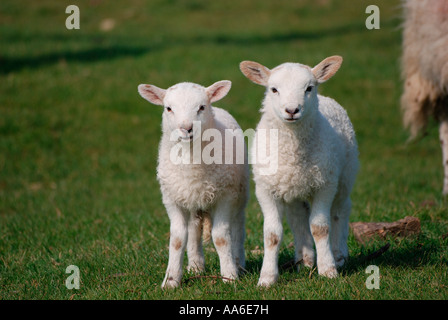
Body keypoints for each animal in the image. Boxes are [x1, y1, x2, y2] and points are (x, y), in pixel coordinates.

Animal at [136, 80, 248, 290]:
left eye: (201, 107)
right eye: (168, 108)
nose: (186, 128)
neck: (191, 162)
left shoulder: (225, 196)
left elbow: (221, 237)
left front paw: (229, 277)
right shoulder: (171, 199)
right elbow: (178, 240)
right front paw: (171, 281)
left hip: (240, 194)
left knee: (237, 227)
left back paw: (239, 264)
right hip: (192, 200)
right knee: (194, 230)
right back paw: (196, 266)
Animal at [240, 56, 358, 286]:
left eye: (309, 88)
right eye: (274, 89)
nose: (292, 110)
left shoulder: (324, 185)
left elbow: (320, 228)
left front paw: (328, 270)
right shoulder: (265, 188)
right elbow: (272, 234)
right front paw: (267, 278)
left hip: (345, 175)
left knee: (341, 210)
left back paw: (338, 255)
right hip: (293, 187)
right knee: (298, 218)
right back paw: (304, 259)